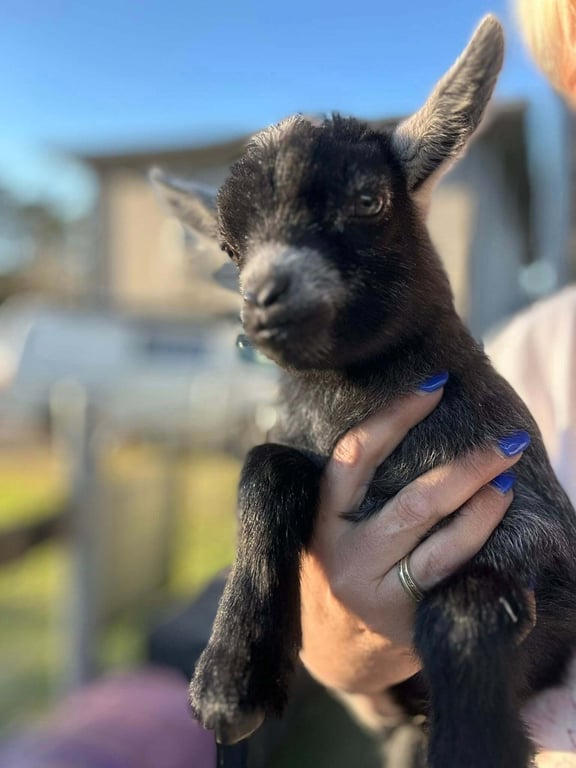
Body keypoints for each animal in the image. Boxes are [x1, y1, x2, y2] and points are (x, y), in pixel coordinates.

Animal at [152, 15, 576, 768]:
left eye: (367, 200)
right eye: (230, 249)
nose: (262, 301)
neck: (351, 397)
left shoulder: (541, 546)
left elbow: (464, 606)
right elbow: (263, 468)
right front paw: (232, 676)